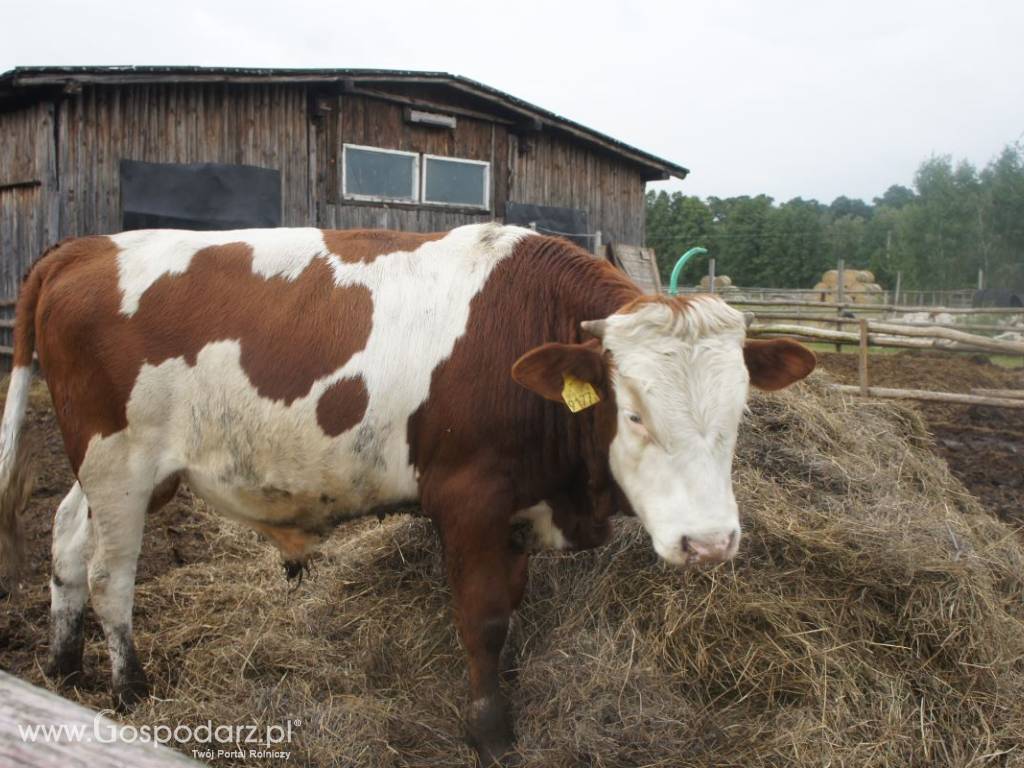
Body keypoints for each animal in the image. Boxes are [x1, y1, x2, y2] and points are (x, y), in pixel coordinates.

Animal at [0, 222, 815, 765]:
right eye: (635, 412)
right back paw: (128, 689)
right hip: (119, 460)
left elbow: (512, 606)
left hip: (114, 470)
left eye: (740, 410)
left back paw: (63, 665)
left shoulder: (516, 508)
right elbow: (483, 618)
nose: (709, 543)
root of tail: (84, 247)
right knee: (111, 574)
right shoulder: (471, 500)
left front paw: (507, 683)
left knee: (66, 536)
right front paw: (491, 730)